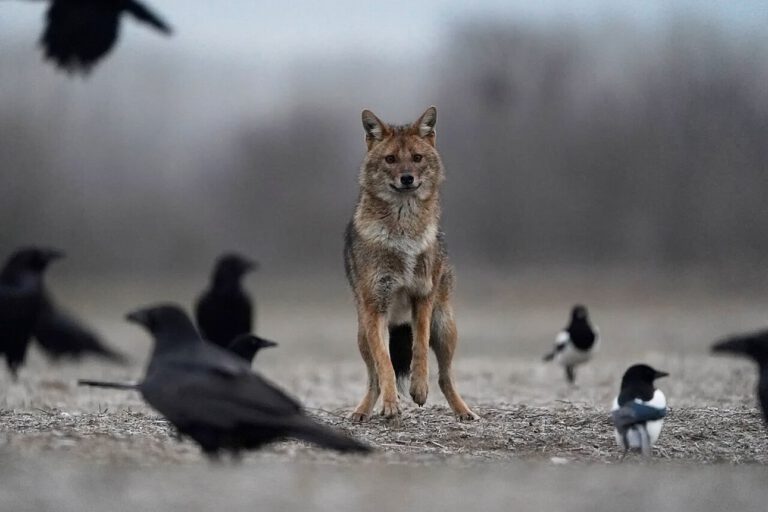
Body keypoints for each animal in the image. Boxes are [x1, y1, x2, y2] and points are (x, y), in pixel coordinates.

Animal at [344, 106, 478, 422]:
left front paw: (418, 389)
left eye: (417, 158)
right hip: (362, 335)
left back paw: (464, 412)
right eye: (390, 159)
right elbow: (386, 364)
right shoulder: (376, 309)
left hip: (446, 328)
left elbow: (419, 348)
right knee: (373, 378)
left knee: (445, 376)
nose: (407, 178)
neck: (402, 235)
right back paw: (362, 412)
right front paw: (391, 405)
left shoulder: (422, 298)